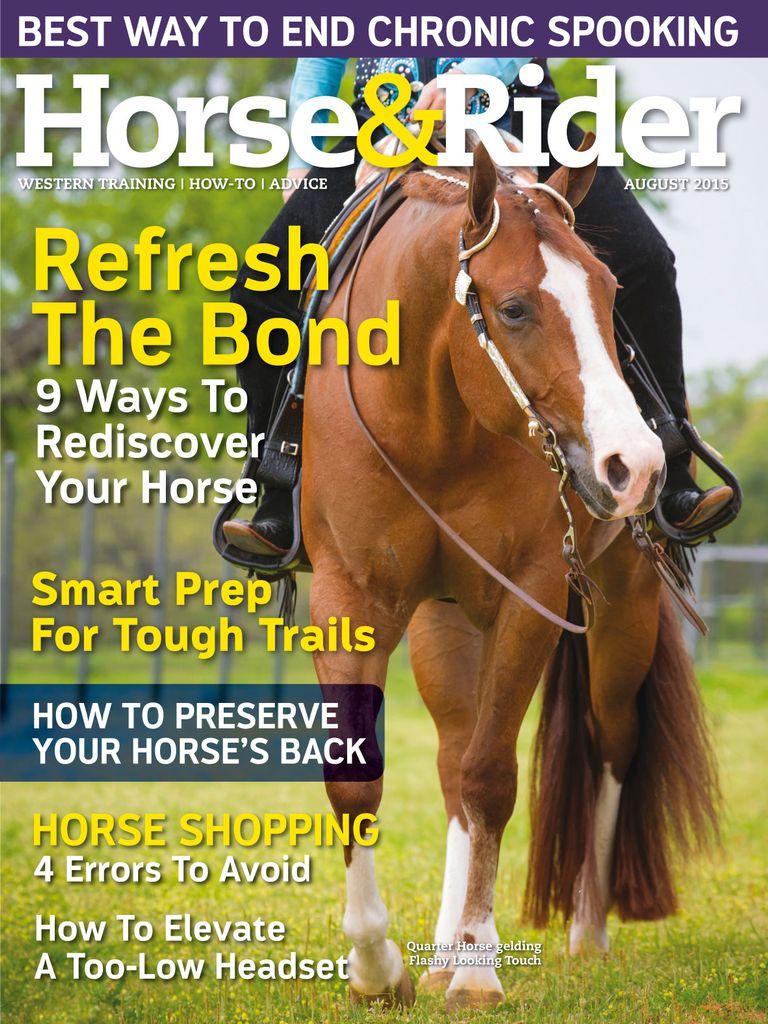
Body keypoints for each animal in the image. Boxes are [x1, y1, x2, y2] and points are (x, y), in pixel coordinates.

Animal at [299, 140, 719, 1011]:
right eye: (517, 308)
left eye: (612, 294)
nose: (637, 465)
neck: (436, 413)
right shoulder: (350, 595)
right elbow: (363, 779)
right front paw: (378, 968)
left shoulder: (533, 593)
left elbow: (494, 778)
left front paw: (478, 970)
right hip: (445, 619)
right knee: (454, 759)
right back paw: (437, 951)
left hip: (620, 615)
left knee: (607, 741)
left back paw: (583, 930)